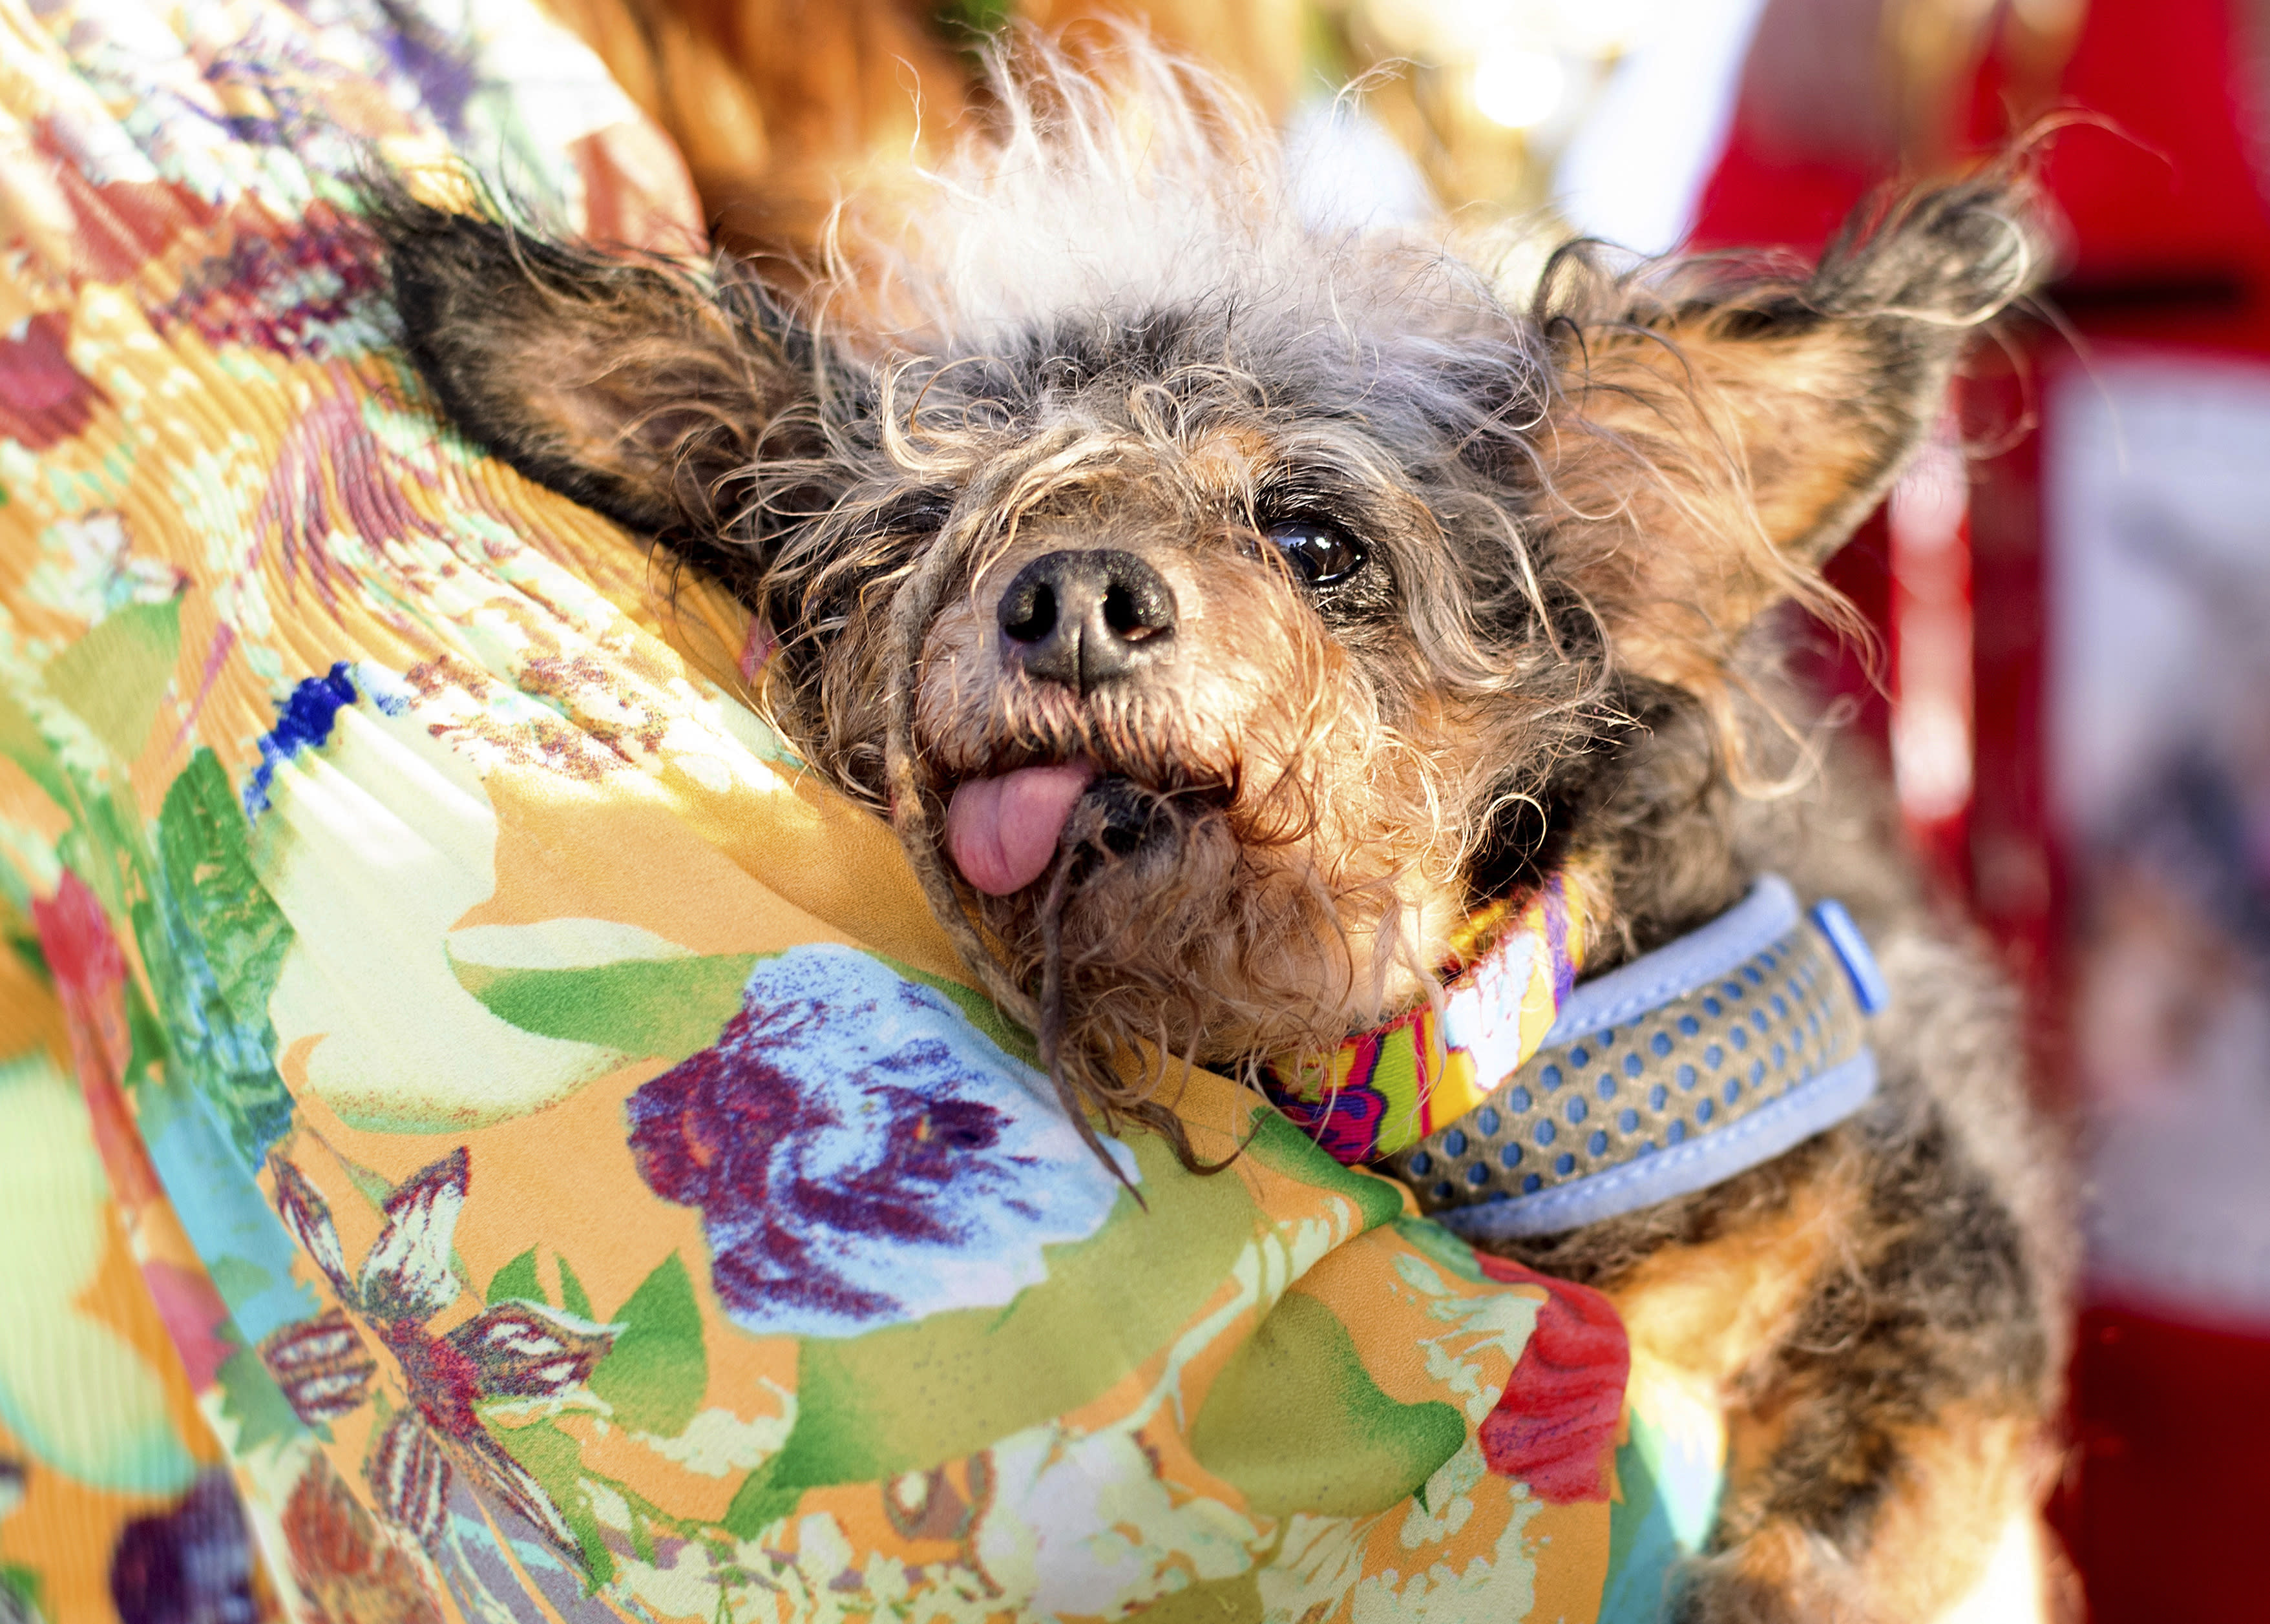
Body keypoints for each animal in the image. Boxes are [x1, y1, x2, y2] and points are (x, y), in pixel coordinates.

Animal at [372, 41, 2079, 1624]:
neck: (1429, 1068)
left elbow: (1855, 1525)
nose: (1070, 595)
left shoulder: (1938, 1253)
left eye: (1314, 541)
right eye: (919, 539)